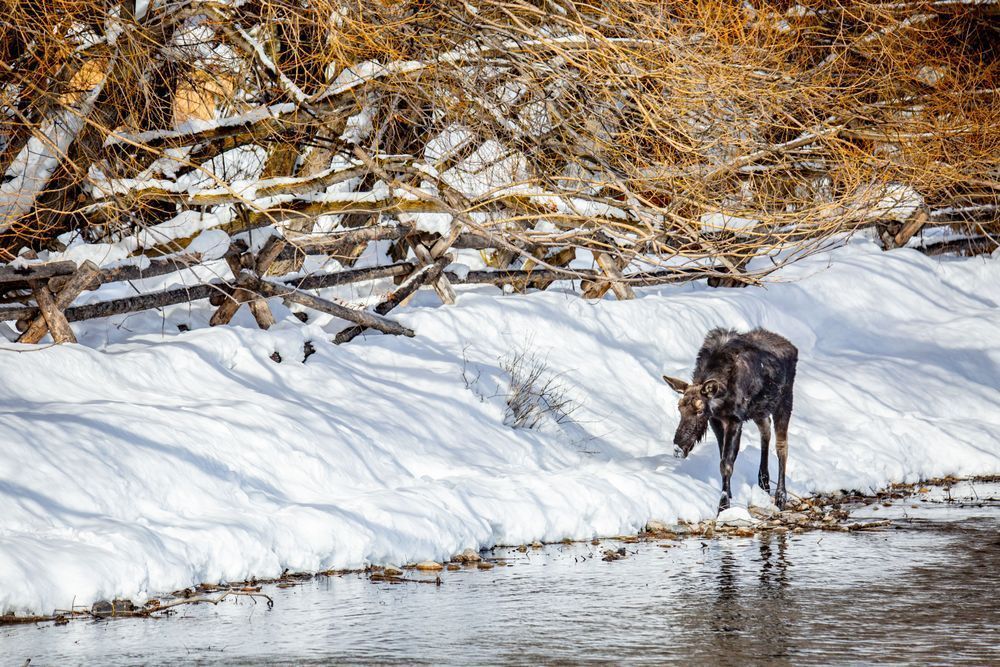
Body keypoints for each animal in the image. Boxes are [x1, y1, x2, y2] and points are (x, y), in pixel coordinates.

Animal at [663, 328, 798, 512]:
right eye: (679, 408)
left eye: (700, 410)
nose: (678, 447)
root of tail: (793, 348)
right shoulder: (716, 420)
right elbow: (724, 458)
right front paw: (729, 494)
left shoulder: (735, 419)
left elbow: (726, 463)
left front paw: (723, 506)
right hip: (760, 410)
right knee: (766, 431)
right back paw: (763, 482)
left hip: (784, 402)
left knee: (782, 446)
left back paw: (780, 497)